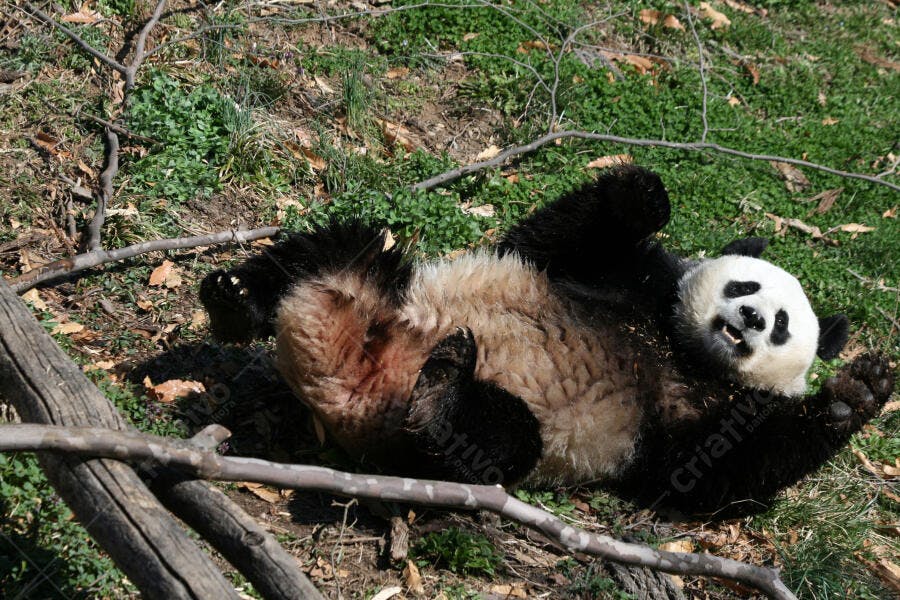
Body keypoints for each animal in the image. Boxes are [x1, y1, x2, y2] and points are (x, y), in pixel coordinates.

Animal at [200, 165, 894, 515]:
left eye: (781, 326)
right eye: (743, 284)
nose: (747, 318)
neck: (681, 349)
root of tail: (343, 383)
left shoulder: (696, 419)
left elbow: (709, 474)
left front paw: (858, 392)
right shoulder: (623, 279)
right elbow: (548, 237)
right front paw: (645, 191)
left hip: (452, 428)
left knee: (492, 442)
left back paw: (442, 396)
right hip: (389, 294)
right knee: (347, 248)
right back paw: (236, 297)